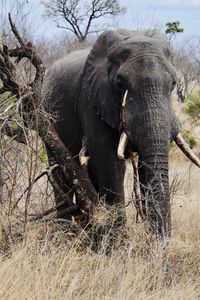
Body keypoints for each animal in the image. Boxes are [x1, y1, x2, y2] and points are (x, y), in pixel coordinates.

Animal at [42, 28, 200, 239]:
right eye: (119, 84)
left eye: (173, 83)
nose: (159, 244)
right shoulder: (92, 99)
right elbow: (110, 163)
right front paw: (118, 242)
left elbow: (144, 165)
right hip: (47, 113)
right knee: (60, 172)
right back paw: (65, 233)